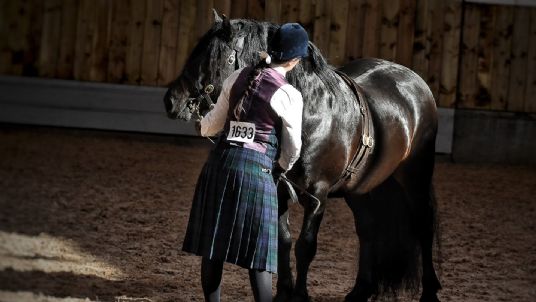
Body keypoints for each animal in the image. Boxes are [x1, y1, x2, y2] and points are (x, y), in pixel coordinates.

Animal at [163, 13, 440, 302]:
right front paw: (284, 292)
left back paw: (429, 291)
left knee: (424, 225)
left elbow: (305, 246)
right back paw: (360, 290)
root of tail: (413, 79)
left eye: (210, 57)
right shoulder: (279, 188)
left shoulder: (318, 193)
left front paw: (299, 295)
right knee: (368, 228)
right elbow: (283, 241)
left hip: (415, 176)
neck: (313, 113)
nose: (171, 101)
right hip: (360, 189)